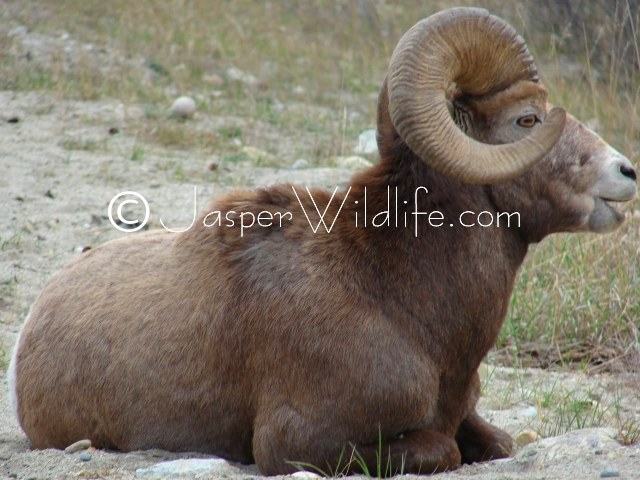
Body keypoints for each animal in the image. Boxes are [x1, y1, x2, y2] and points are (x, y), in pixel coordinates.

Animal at [8, 7, 637, 476]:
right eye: (527, 119)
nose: (626, 172)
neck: (401, 302)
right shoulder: (298, 443)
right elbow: (444, 449)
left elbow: (497, 443)